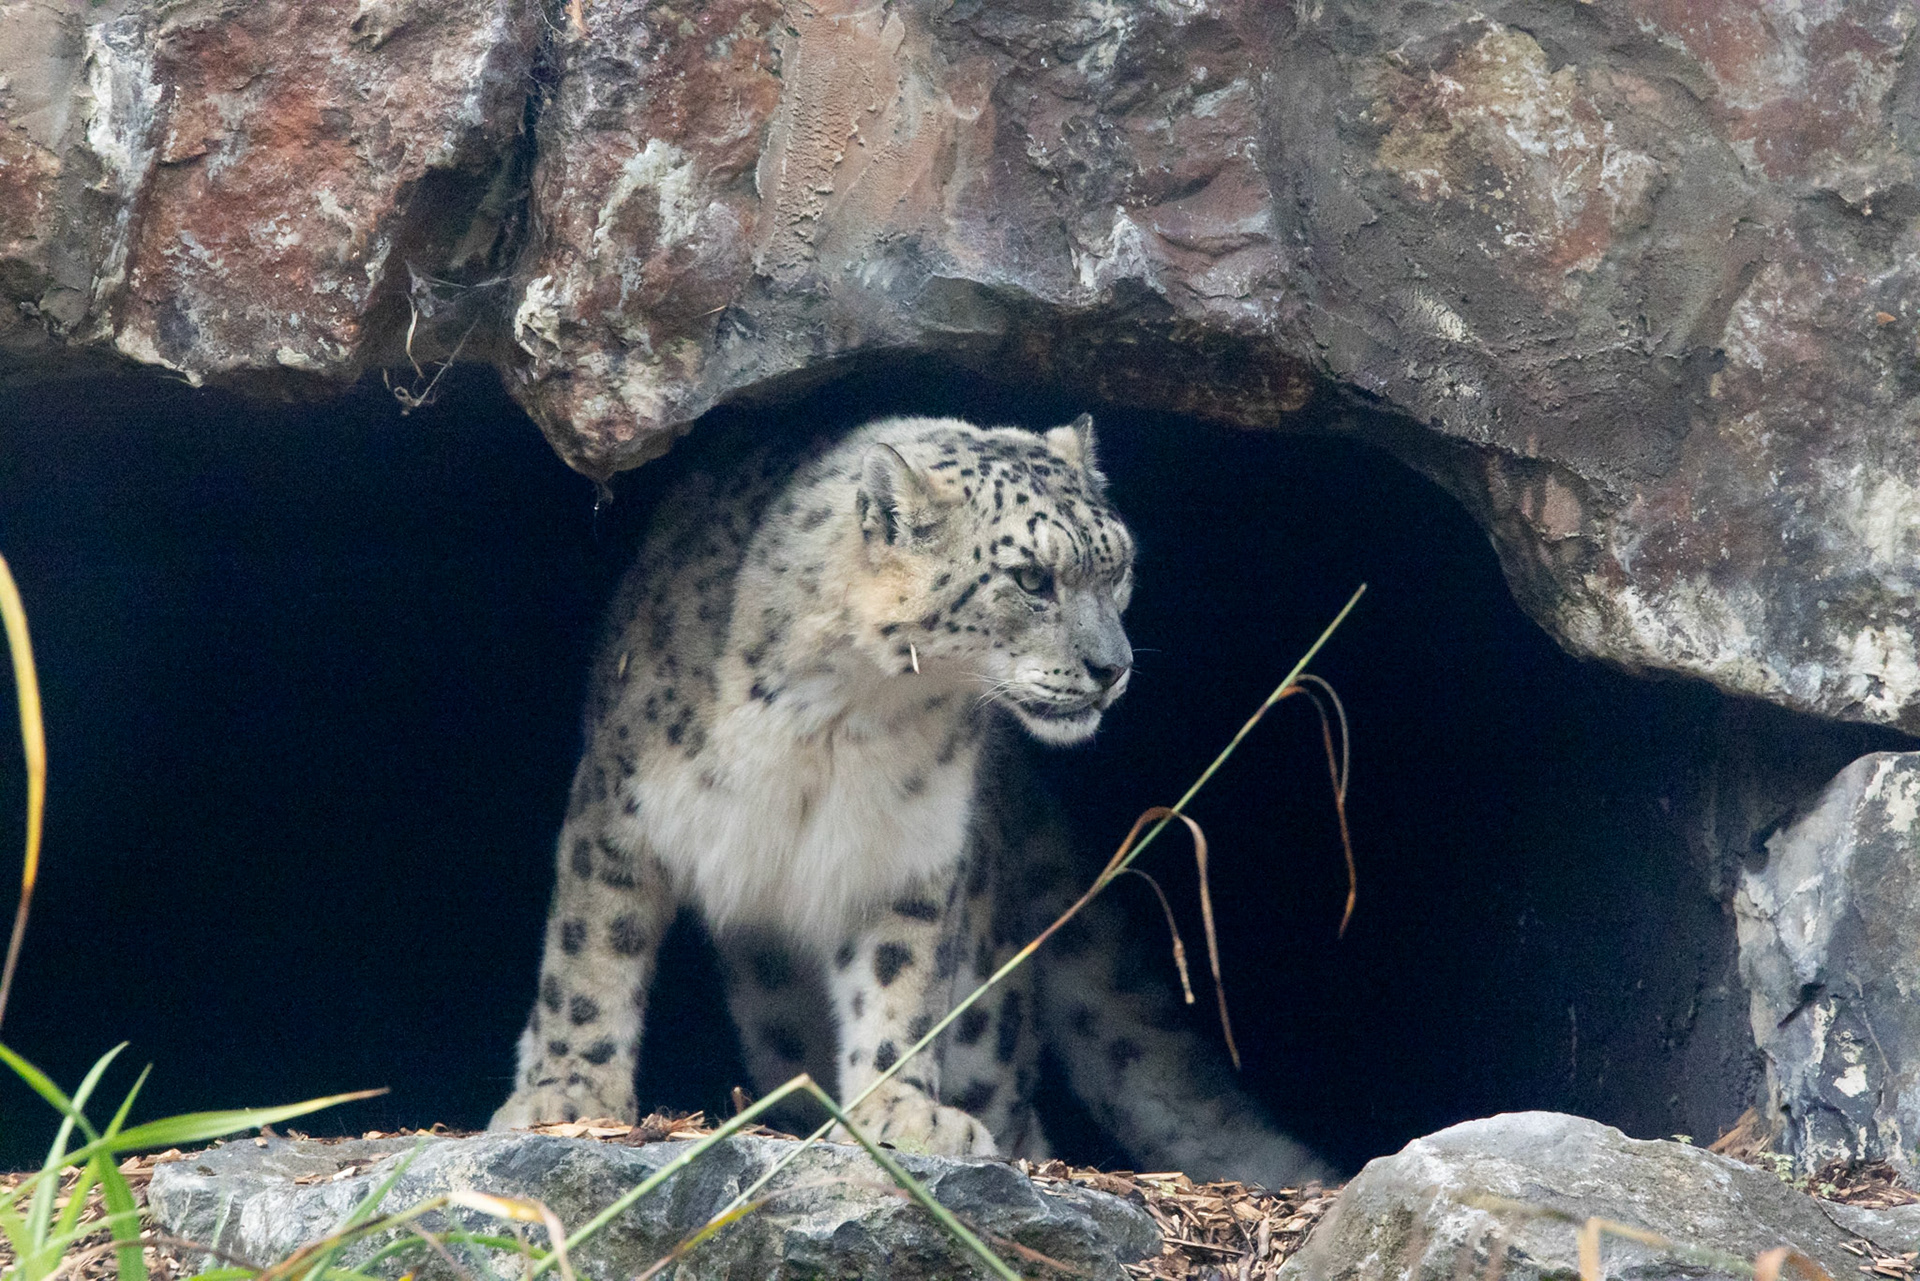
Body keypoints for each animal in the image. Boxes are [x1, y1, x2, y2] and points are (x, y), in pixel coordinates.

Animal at [490, 412, 1332, 1186]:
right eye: (1033, 577)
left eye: (1118, 567)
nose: (1113, 666)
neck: (838, 713)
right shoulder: (619, 813)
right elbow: (589, 959)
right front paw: (569, 1092)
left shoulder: (909, 852)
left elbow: (902, 982)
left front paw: (901, 1111)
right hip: (771, 987)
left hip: (985, 987)